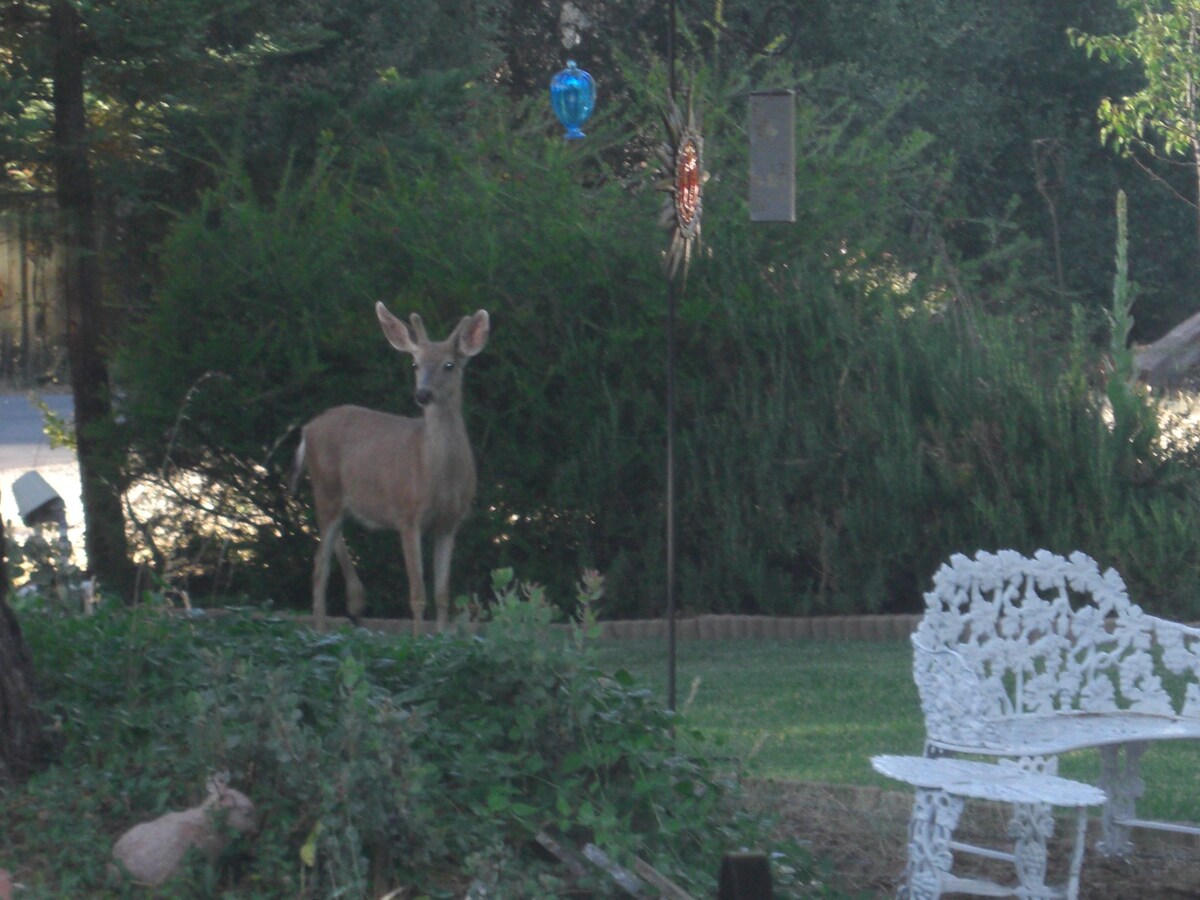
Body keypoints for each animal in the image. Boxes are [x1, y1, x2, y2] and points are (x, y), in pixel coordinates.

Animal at [288, 307, 489, 638]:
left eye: (449, 365)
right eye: (415, 363)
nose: (423, 394)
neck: (436, 476)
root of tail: (307, 429)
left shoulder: (450, 523)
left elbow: (443, 593)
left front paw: (441, 637)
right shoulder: (407, 514)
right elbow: (418, 593)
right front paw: (419, 639)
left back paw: (355, 604)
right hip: (326, 488)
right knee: (319, 565)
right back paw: (322, 630)